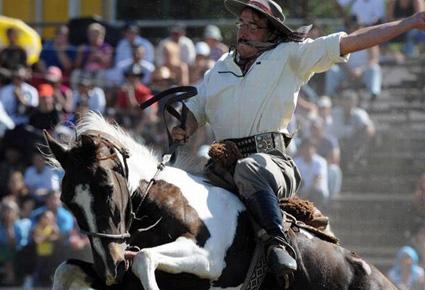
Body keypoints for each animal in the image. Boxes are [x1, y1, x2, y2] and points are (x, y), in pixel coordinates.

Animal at [44, 112, 396, 288]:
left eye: (106, 188)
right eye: (68, 201)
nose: (111, 265)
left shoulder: (210, 260)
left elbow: (144, 258)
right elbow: (63, 269)